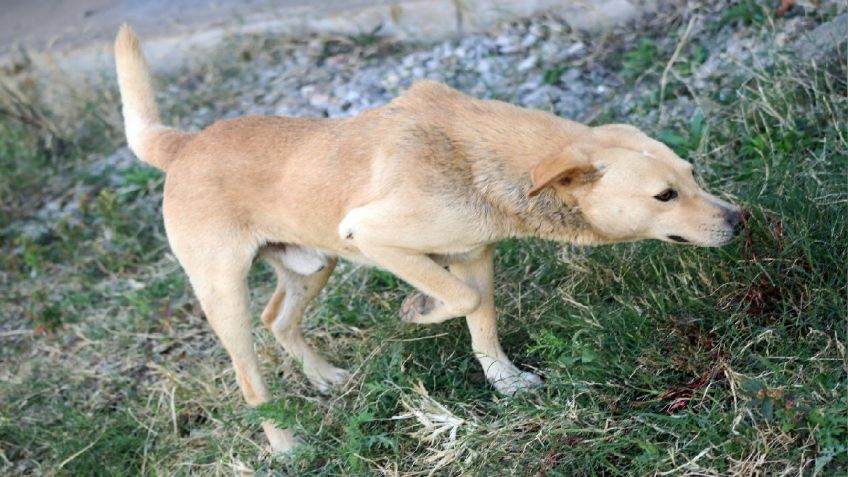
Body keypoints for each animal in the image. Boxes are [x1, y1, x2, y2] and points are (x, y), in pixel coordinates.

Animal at [114, 25, 744, 450]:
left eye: (692, 176)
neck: (476, 157)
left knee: (280, 320)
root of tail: (185, 145)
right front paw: (419, 310)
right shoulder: (375, 237)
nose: (738, 219)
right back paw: (287, 446)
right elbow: (461, 300)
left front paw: (506, 384)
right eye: (665, 196)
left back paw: (324, 376)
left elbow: (483, 322)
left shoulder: (473, 254)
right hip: (226, 296)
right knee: (251, 381)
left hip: (313, 266)